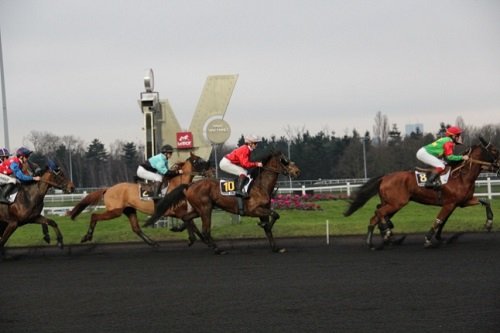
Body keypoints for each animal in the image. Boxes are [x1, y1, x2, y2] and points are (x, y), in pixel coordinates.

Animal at [65, 152, 210, 245]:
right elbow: (190, 224)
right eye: (200, 161)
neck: (176, 186)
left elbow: (190, 223)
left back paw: (152, 243)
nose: (211, 169)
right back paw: (87, 236)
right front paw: (194, 238)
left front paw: (202, 239)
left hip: (129, 210)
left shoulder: (181, 212)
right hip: (115, 211)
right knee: (95, 216)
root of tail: (108, 189)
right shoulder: (178, 212)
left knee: (136, 228)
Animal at [145, 150, 300, 254]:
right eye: (285, 160)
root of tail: (189, 185)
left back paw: (188, 236)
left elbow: (269, 227)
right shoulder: (254, 209)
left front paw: (275, 247)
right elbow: (275, 216)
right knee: (205, 230)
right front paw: (264, 226)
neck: (260, 185)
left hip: (199, 209)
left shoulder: (264, 210)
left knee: (187, 217)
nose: (297, 171)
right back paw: (217, 249)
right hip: (205, 209)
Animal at [344, 136, 500, 248]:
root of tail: (385, 177)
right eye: (494, 150)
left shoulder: (461, 202)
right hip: (396, 203)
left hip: (391, 203)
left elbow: (485, 201)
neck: (461, 175)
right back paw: (386, 234)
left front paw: (489, 223)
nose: (498, 166)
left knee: (376, 216)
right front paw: (428, 239)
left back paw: (377, 240)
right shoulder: (450, 203)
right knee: (379, 213)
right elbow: (439, 220)